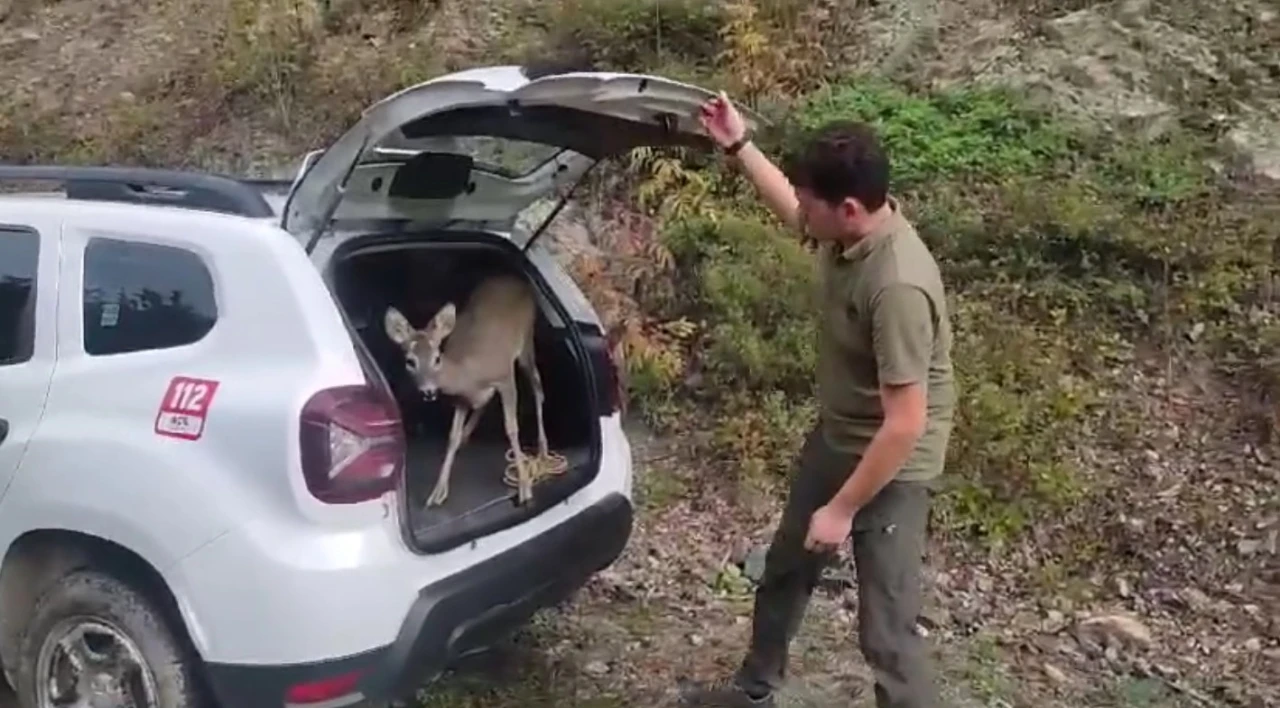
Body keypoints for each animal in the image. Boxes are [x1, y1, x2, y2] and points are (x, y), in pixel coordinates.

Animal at [384, 272, 555, 504]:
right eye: (410, 361)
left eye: (437, 358)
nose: (428, 391)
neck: (469, 372)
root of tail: (514, 277)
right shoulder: (460, 399)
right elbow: (452, 437)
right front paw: (437, 493)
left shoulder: (505, 377)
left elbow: (511, 428)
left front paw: (525, 488)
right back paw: (467, 433)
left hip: (526, 341)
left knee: (537, 386)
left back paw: (544, 449)